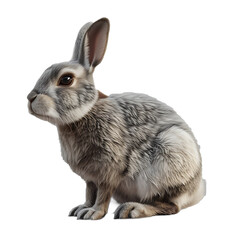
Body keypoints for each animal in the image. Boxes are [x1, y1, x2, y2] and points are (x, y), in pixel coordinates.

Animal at [27, 17, 205, 219]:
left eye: (66, 79)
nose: (30, 98)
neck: (85, 112)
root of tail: (196, 190)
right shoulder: (90, 178)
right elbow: (89, 192)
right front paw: (81, 208)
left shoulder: (109, 170)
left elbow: (103, 194)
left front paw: (93, 213)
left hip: (170, 156)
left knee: (171, 206)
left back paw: (133, 209)